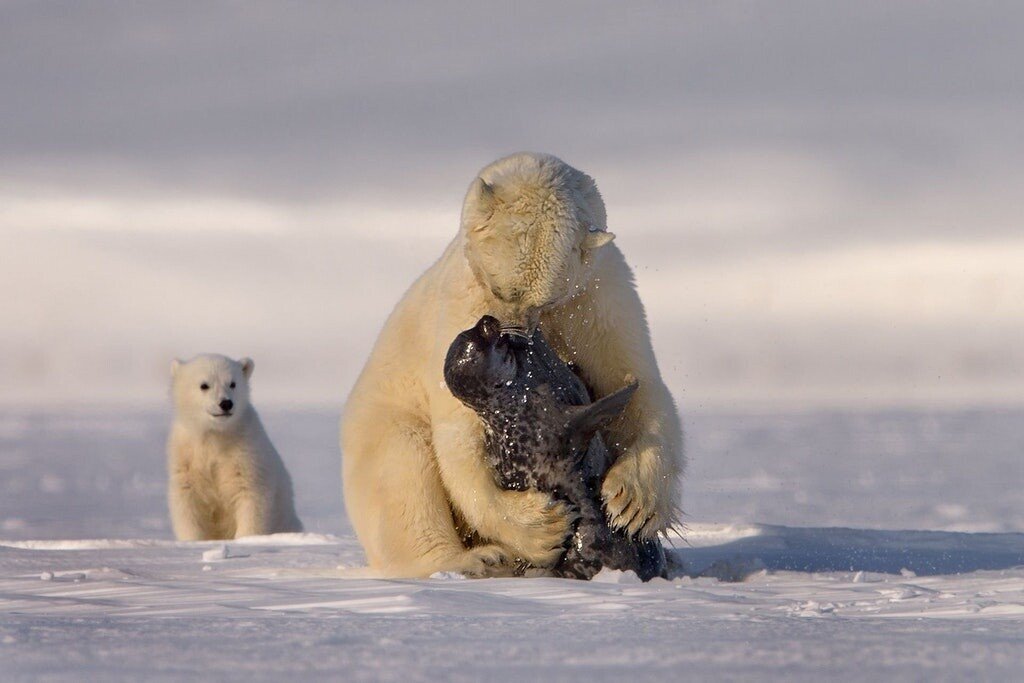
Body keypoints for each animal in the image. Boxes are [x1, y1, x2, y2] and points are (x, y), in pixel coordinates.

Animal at [339, 153, 684, 577]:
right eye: (501, 289)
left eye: (546, 299)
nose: (510, 334)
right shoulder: (462, 303)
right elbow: (460, 437)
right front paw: (541, 527)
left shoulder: (599, 296)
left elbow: (636, 382)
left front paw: (633, 503)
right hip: (380, 421)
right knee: (403, 473)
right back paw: (477, 558)